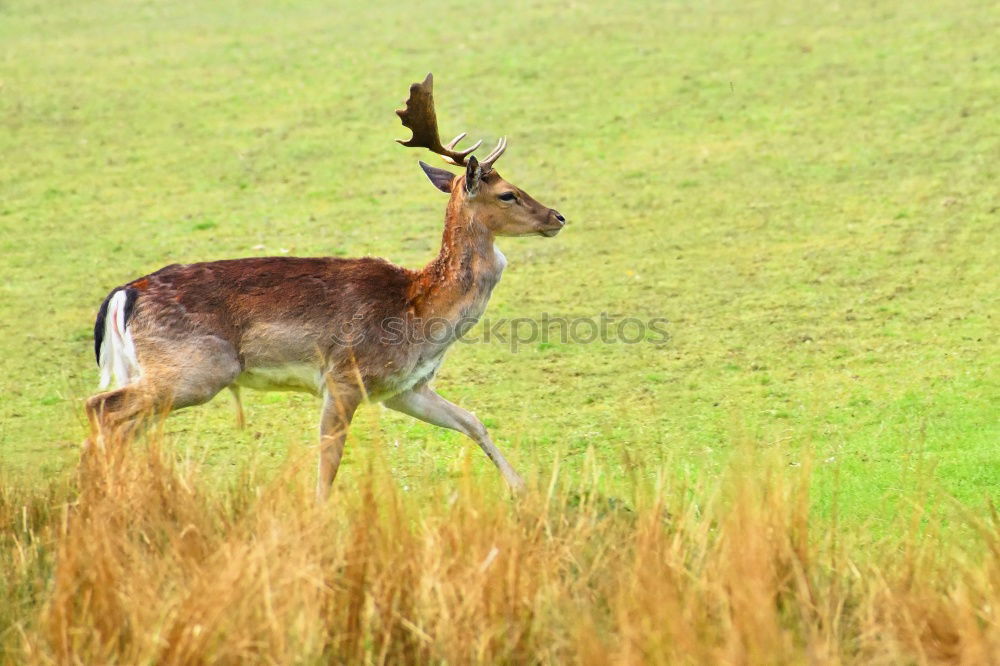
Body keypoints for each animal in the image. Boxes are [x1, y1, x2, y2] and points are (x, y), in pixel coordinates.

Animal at [88, 74, 564, 498]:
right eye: (507, 193)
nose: (557, 216)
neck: (419, 312)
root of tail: (123, 296)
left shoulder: (403, 388)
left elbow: (472, 421)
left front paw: (523, 491)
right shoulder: (344, 377)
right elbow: (329, 458)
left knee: (124, 423)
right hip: (197, 369)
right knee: (103, 408)